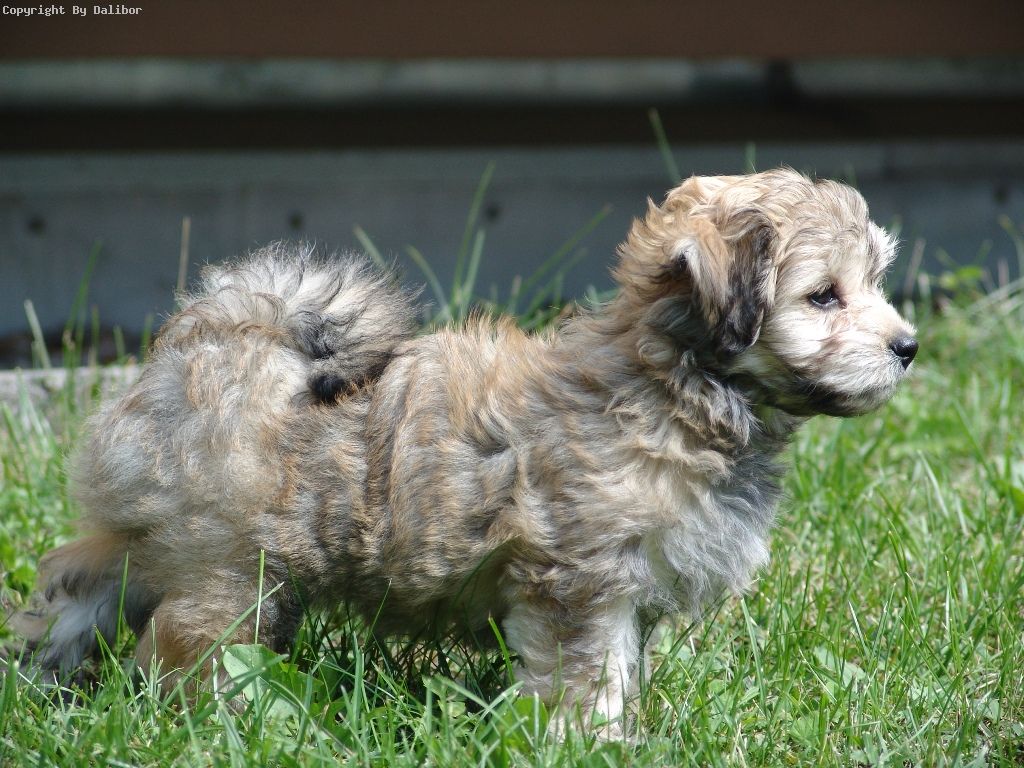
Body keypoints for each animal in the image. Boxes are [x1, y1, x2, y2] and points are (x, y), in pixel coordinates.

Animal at [11, 168, 917, 735]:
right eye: (823, 297)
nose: (907, 346)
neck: (671, 386)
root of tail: (217, 341)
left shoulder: (626, 591)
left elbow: (622, 670)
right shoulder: (580, 582)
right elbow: (589, 677)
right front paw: (590, 740)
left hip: (157, 536)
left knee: (82, 585)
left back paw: (40, 673)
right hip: (230, 569)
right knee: (190, 645)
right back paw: (207, 723)